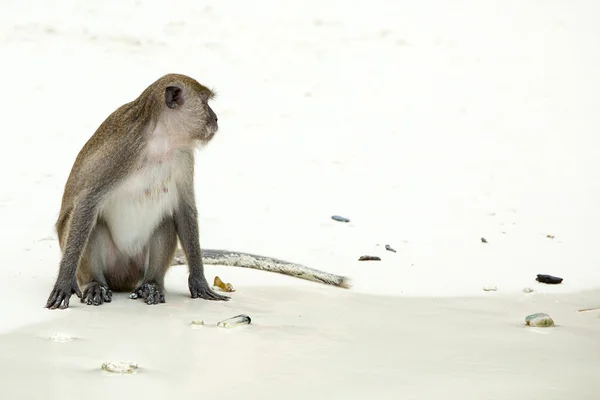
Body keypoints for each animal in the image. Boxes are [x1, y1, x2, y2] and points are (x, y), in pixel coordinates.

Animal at [45, 73, 352, 310]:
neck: (159, 141)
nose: (216, 118)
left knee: (166, 222)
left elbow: (184, 210)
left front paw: (199, 281)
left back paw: (152, 284)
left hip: (135, 267)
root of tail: (125, 280)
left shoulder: (183, 156)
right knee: (92, 223)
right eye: (205, 102)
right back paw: (95, 283)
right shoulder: (123, 149)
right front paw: (64, 282)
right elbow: (88, 203)